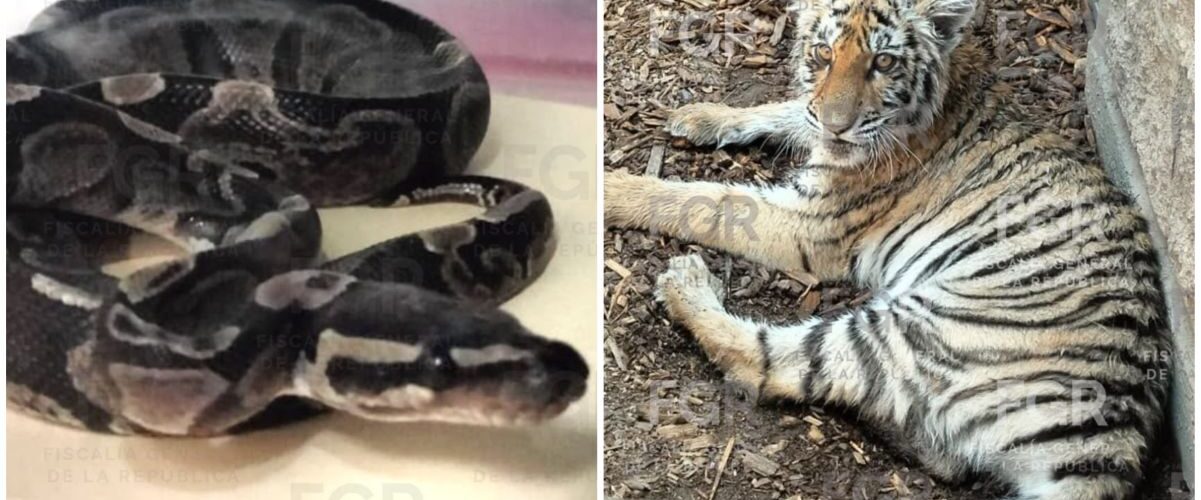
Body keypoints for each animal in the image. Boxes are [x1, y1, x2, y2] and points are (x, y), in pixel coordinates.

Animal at [603, 0, 1173, 498]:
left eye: (884, 62)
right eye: (823, 53)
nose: (837, 126)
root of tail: (1115, 436)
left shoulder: (812, 224)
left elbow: (706, 200)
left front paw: (617, 189)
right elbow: (788, 109)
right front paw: (701, 115)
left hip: (922, 325)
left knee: (770, 364)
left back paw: (685, 283)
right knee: (944, 455)